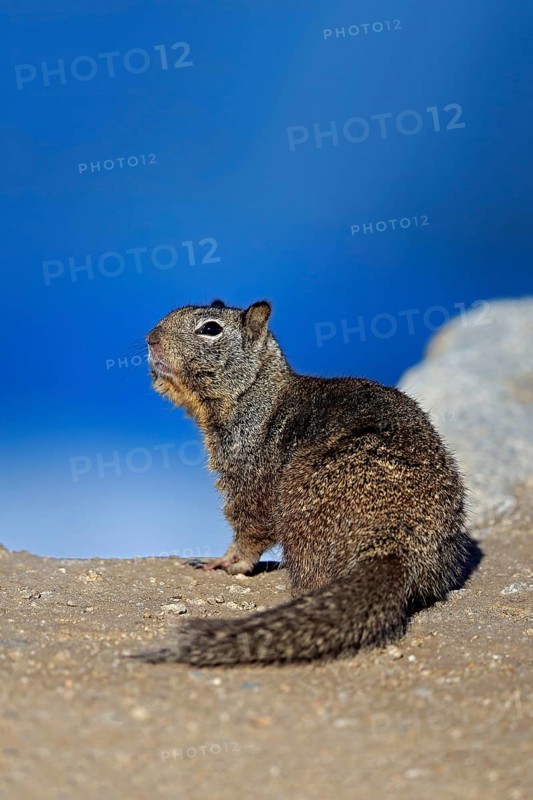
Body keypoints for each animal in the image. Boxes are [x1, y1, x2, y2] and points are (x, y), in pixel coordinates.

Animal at [134, 299, 470, 666]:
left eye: (210, 328)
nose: (150, 338)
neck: (258, 394)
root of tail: (393, 543)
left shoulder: (248, 473)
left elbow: (250, 528)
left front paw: (223, 562)